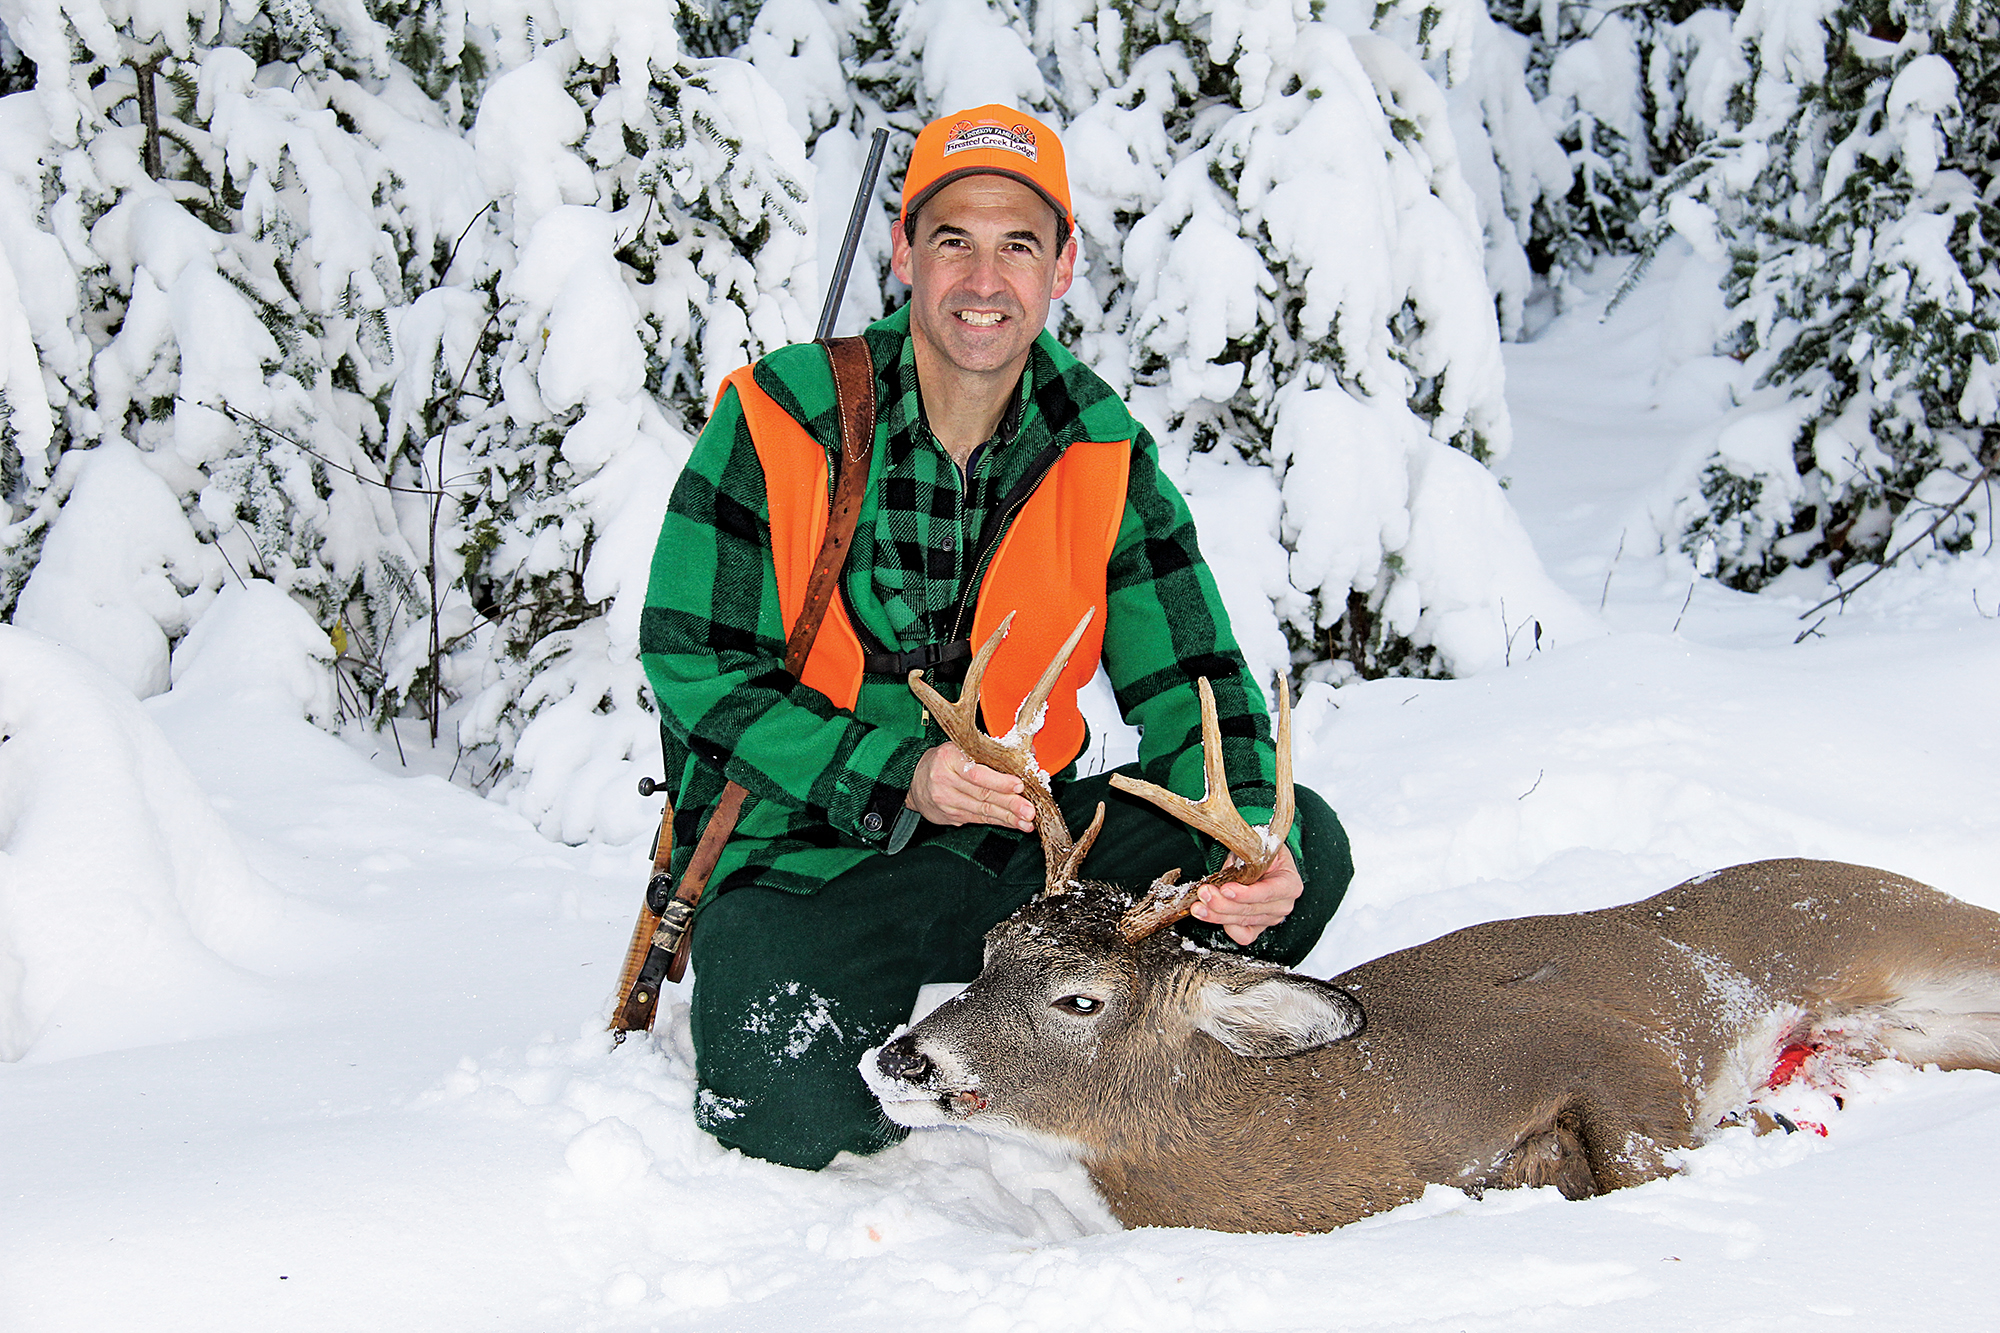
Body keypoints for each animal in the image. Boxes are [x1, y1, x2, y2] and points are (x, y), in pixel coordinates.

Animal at [866, 613, 2000, 1233]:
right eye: (986, 951)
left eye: (1080, 999)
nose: (899, 1058)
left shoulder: (1608, 1053)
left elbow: (1630, 1150)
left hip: (1897, 926)